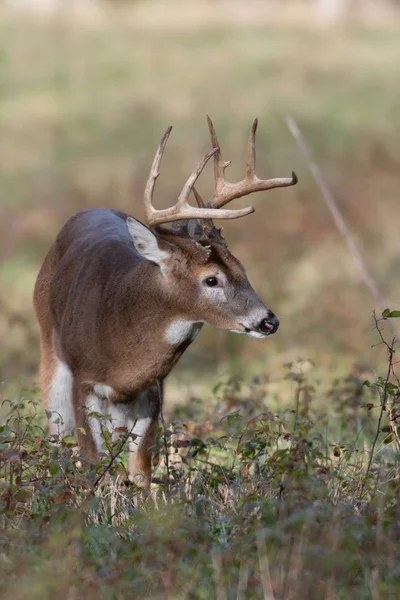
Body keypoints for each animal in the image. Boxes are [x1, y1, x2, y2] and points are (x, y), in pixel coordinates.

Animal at [33, 116, 296, 488]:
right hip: (49, 348)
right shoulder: (83, 380)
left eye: (243, 269)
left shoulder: (153, 390)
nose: (268, 321)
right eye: (211, 279)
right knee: (56, 436)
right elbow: (93, 459)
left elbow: (141, 467)